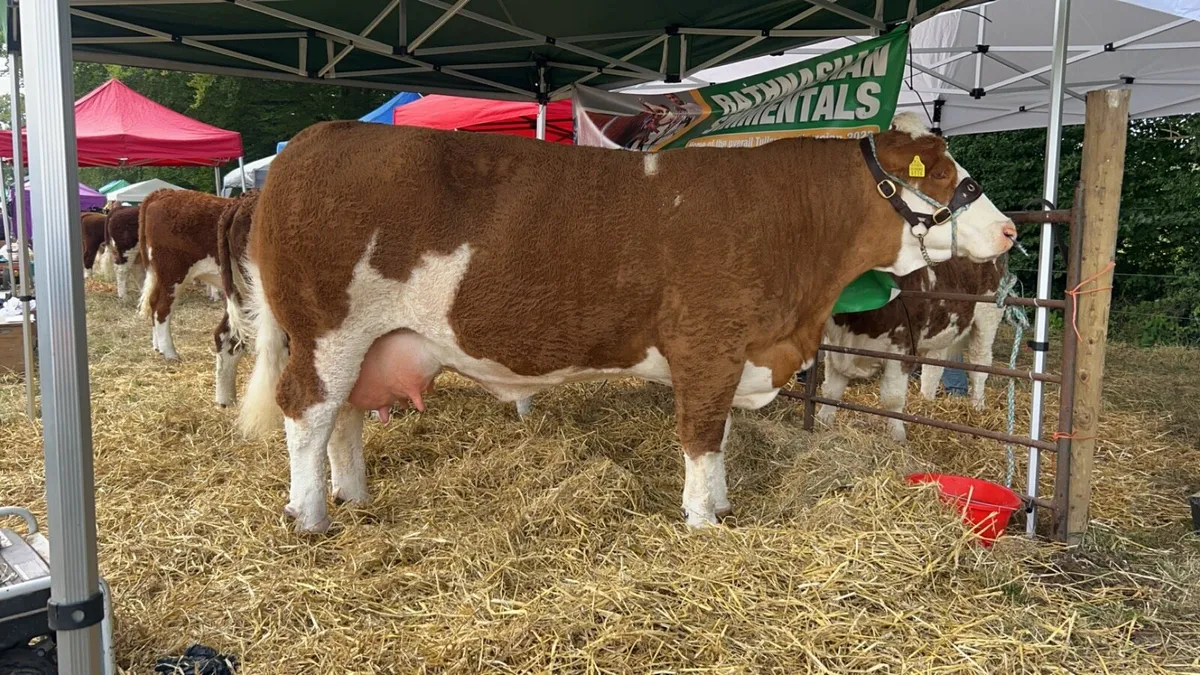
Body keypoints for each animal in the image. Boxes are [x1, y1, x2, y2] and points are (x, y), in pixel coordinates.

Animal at [137, 188, 231, 361]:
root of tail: (165, 192)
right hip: (173, 272)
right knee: (161, 308)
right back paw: (169, 353)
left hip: (160, 274)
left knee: (153, 302)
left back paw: (158, 347)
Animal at [815, 257, 1005, 443]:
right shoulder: (837, 347)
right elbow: (832, 389)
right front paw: (823, 420)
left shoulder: (901, 345)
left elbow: (892, 397)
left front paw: (897, 435)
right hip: (941, 331)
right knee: (933, 370)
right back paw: (925, 402)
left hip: (987, 317)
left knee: (979, 364)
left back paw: (977, 406)